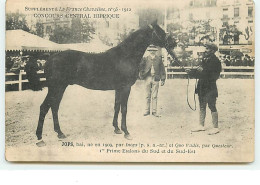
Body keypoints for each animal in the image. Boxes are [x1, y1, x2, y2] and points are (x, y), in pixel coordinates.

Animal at [26, 20, 177, 146]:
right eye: (161, 31)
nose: (174, 43)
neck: (125, 55)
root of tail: (49, 59)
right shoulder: (125, 88)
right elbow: (124, 109)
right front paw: (126, 132)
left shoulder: (118, 88)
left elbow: (116, 107)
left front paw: (116, 129)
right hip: (55, 88)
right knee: (44, 107)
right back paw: (40, 138)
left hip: (60, 88)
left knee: (54, 107)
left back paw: (60, 133)